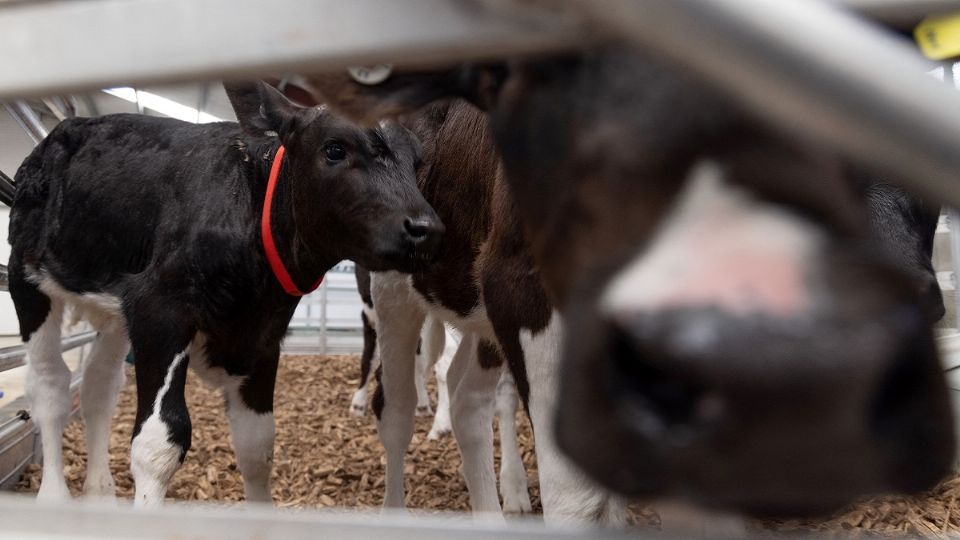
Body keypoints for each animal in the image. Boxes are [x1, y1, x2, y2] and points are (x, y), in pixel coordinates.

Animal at [8, 81, 442, 506]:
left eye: (416, 162)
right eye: (335, 148)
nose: (427, 229)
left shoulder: (263, 340)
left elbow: (257, 448)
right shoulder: (158, 311)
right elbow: (158, 444)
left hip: (114, 310)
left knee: (99, 387)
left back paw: (99, 492)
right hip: (25, 278)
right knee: (50, 386)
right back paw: (54, 497)